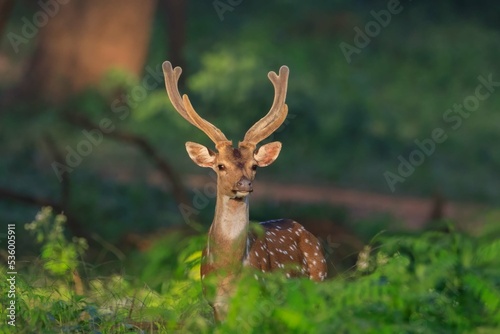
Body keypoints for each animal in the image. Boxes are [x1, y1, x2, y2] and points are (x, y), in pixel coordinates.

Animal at [161, 61, 328, 322]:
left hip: (319, 279)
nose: (244, 184)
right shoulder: (214, 304)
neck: (227, 273)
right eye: (220, 166)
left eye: (254, 165)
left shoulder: (258, 295)